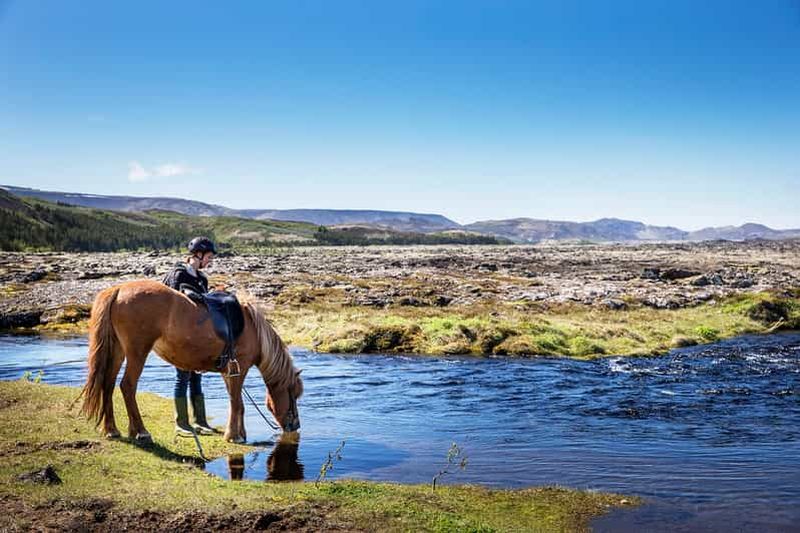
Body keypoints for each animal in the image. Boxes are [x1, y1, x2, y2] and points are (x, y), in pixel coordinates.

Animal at [79, 280, 303, 443]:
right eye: (292, 394)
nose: (296, 426)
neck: (253, 330)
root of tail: (118, 290)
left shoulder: (228, 372)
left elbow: (237, 401)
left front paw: (239, 433)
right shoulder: (240, 368)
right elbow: (237, 402)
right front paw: (234, 436)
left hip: (118, 351)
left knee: (108, 383)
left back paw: (113, 430)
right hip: (137, 352)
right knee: (127, 386)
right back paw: (141, 432)